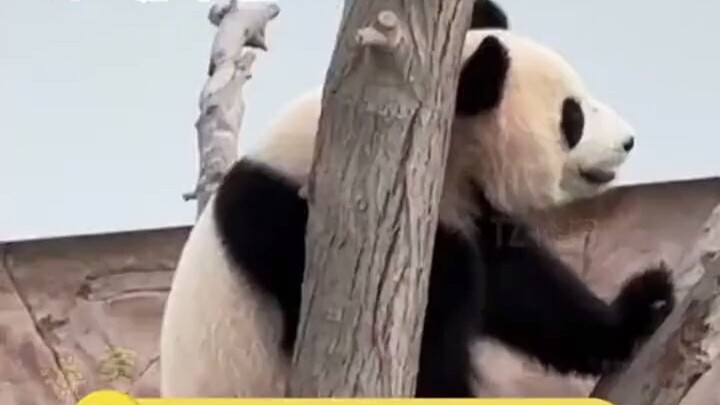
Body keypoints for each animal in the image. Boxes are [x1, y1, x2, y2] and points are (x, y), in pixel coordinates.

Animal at [160, 3, 675, 399]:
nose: (628, 141)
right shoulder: (301, 230)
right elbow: (428, 347)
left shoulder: (466, 210)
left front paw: (643, 308)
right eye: (573, 117)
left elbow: (526, 286)